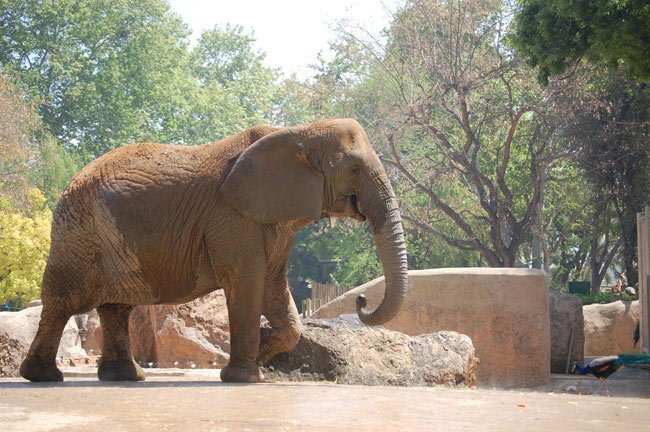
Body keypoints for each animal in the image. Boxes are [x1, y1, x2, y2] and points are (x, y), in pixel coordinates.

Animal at [19, 118, 408, 383]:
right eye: (354, 168)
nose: (361, 301)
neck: (299, 131)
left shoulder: (270, 219)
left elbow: (273, 288)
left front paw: (262, 352)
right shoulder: (231, 217)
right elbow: (247, 282)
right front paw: (245, 377)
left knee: (116, 307)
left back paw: (126, 377)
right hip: (78, 233)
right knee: (64, 302)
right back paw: (43, 377)